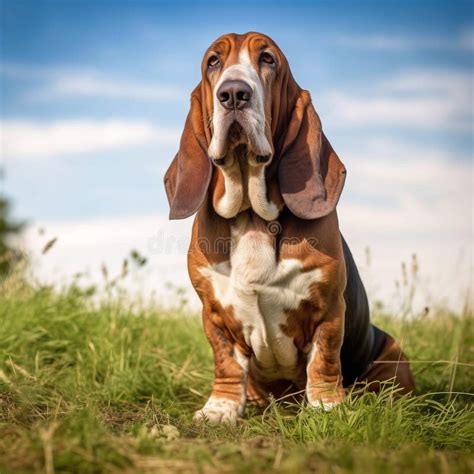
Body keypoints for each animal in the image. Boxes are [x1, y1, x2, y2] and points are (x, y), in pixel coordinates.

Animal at [164, 32, 414, 422]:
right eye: (213, 61)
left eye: (268, 59)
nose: (233, 93)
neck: (252, 216)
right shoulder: (214, 315)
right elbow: (226, 364)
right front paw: (220, 408)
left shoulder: (329, 309)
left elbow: (324, 359)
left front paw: (327, 405)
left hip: (394, 354)